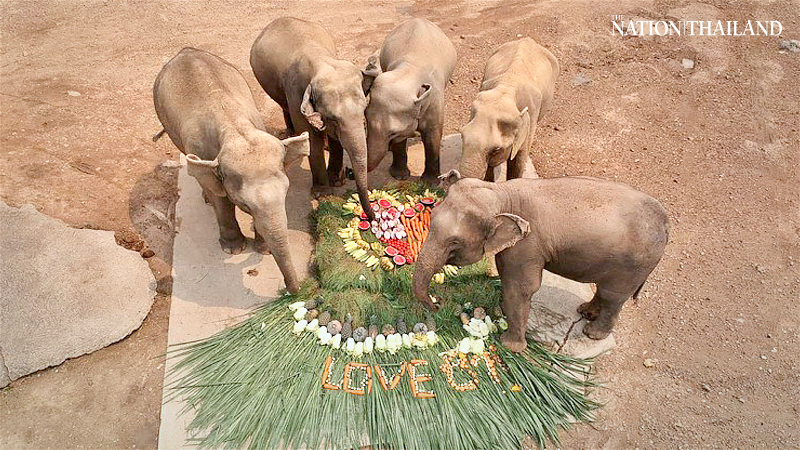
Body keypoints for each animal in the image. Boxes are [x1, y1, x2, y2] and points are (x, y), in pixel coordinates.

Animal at [153, 47, 309, 293]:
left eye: (286, 194)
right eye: (245, 205)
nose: (293, 291)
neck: (235, 129)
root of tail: (184, 50)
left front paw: (262, 248)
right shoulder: (205, 154)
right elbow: (222, 200)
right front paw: (234, 249)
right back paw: (206, 199)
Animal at [250, 17, 378, 221]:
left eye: (364, 110)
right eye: (333, 118)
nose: (373, 217)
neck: (322, 61)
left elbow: (335, 139)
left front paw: (337, 181)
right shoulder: (296, 93)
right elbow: (310, 139)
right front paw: (323, 193)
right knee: (283, 105)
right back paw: (291, 133)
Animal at [364, 18, 456, 185]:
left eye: (392, 132)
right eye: (365, 118)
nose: (349, 173)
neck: (409, 72)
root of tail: (420, 19)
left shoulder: (434, 100)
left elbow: (432, 135)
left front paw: (430, 183)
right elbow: (402, 140)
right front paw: (400, 176)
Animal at [412, 170, 669, 352]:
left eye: (454, 242)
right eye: (430, 220)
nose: (438, 303)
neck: (501, 192)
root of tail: (667, 224)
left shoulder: (528, 244)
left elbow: (521, 287)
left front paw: (510, 345)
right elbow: (507, 276)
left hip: (632, 266)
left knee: (612, 296)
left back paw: (591, 333)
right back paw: (585, 311)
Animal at [459, 38, 558, 181]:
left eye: (496, 149)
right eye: (461, 135)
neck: (506, 89)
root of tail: (528, 39)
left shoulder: (531, 114)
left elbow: (518, 160)